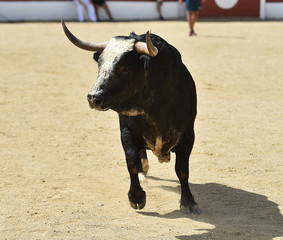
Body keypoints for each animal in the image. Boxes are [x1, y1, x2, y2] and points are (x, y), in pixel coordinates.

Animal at [61, 19, 200, 213]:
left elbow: (182, 169)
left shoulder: (188, 135)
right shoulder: (126, 132)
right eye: (100, 64)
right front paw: (136, 196)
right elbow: (132, 162)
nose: (93, 97)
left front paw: (188, 201)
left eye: (125, 68)